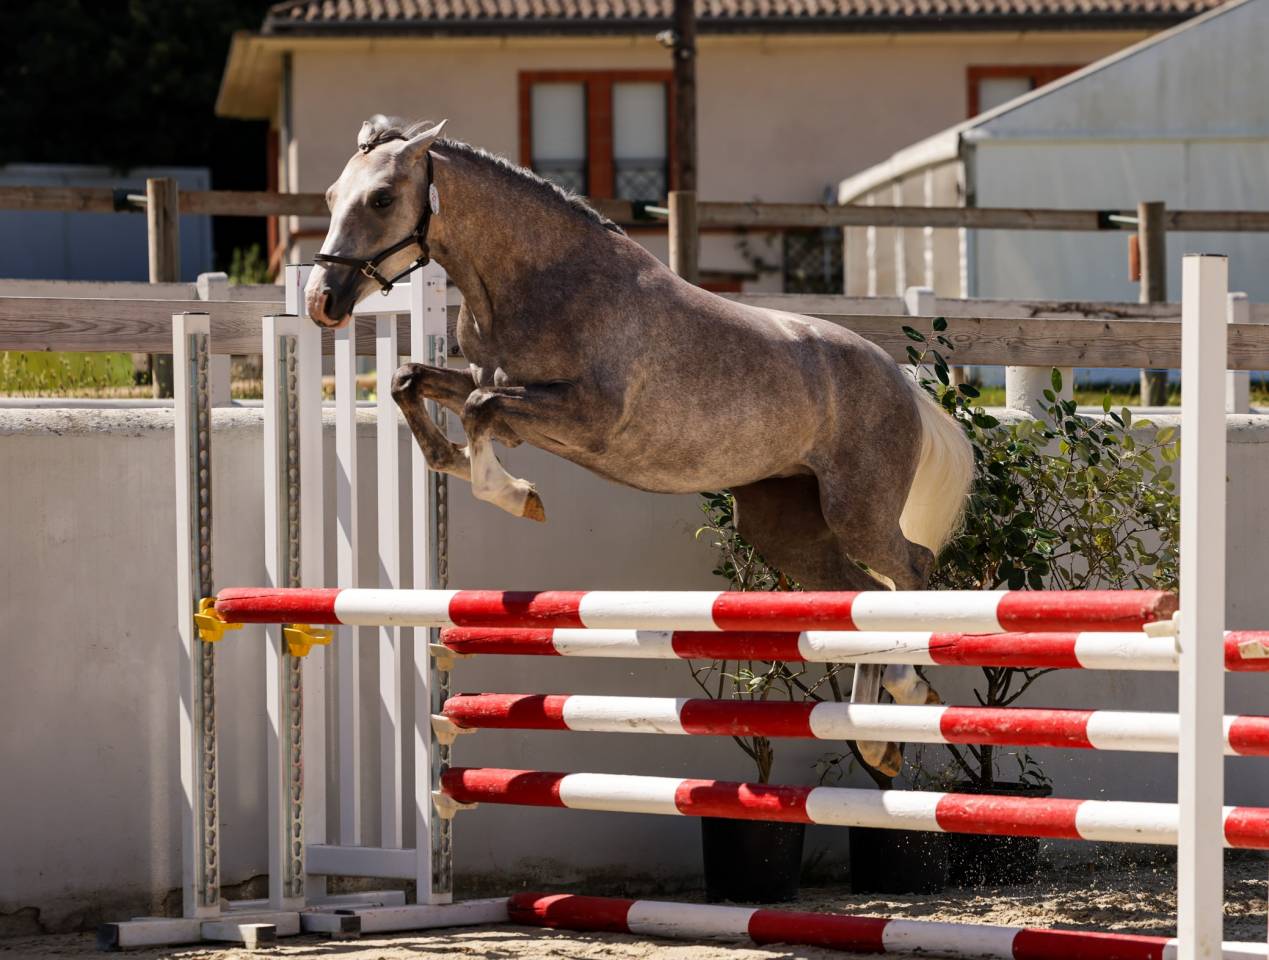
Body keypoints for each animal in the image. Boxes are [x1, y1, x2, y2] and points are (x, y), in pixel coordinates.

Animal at [304, 116, 975, 776]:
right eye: (332, 197)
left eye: (381, 198)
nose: (321, 302)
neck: (536, 282)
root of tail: (902, 382)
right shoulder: (493, 386)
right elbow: (408, 381)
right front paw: (468, 468)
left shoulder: (584, 418)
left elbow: (479, 410)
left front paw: (516, 495)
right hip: (786, 529)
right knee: (864, 597)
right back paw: (878, 739)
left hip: (857, 512)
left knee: (911, 569)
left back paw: (909, 692)